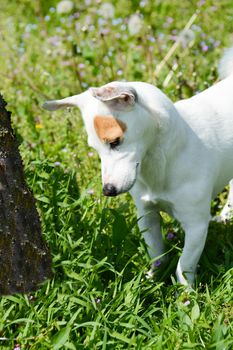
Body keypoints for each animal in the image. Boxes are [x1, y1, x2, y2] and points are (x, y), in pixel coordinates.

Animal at [42, 46, 233, 286]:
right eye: (94, 148)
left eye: (115, 142)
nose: (108, 190)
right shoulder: (147, 215)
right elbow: (157, 255)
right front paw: (151, 281)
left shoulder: (196, 225)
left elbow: (184, 266)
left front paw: (185, 293)